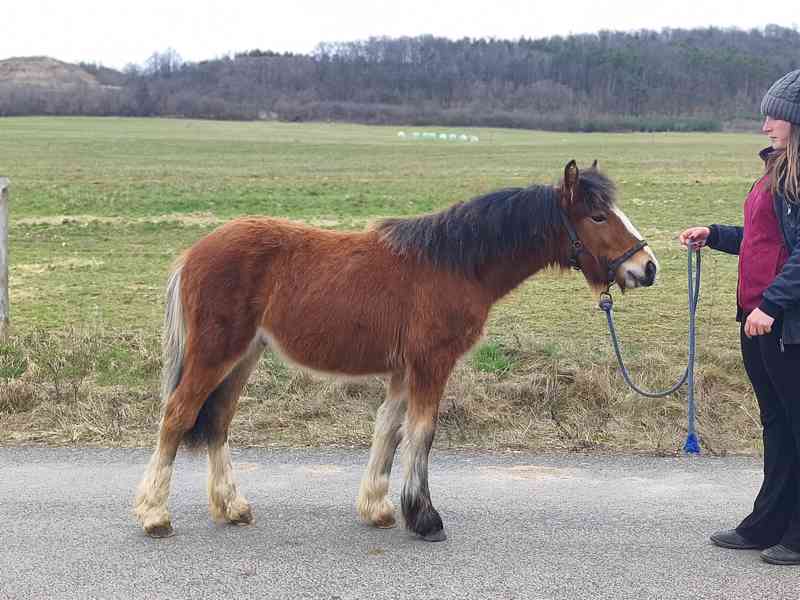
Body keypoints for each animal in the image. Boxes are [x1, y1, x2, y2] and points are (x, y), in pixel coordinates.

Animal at [134, 160, 658, 541]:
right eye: (597, 215)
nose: (647, 267)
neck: (456, 264)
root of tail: (194, 253)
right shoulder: (431, 364)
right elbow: (421, 433)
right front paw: (424, 518)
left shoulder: (404, 369)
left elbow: (388, 430)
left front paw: (378, 508)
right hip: (216, 353)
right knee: (178, 414)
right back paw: (155, 514)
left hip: (244, 356)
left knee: (218, 419)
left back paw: (232, 507)